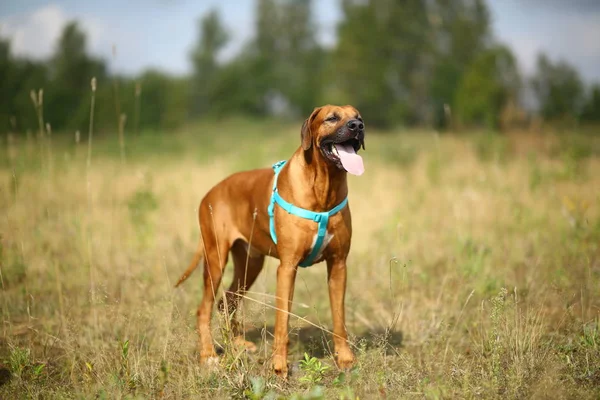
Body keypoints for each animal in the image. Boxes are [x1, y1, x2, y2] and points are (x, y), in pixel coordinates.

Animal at [175, 104, 366, 376]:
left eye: (358, 117)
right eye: (332, 118)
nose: (357, 127)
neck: (323, 187)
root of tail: (210, 193)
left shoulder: (339, 265)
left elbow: (339, 319)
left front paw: (346, 359)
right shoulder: (287, 268)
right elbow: (282, 321)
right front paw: (279, 366)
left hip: (250, 264)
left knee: (227, 301)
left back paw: (238, 344)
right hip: (215, 260)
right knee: (204, 309)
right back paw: (208, 355)